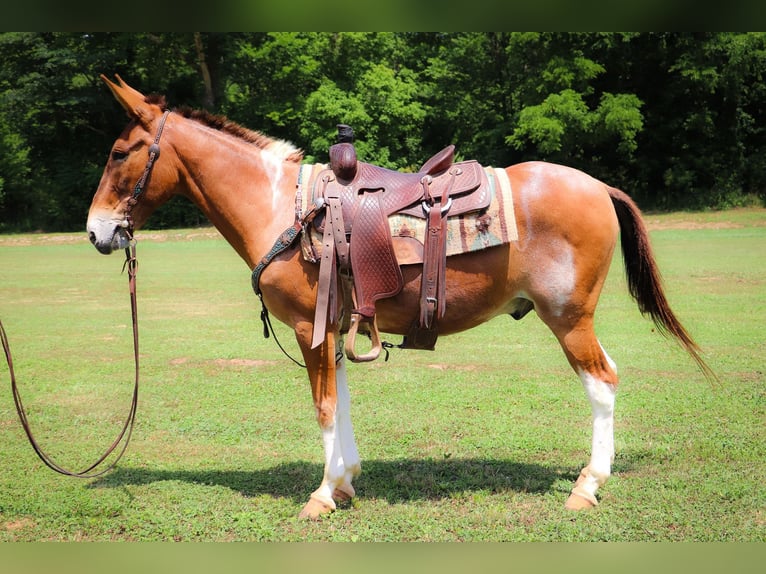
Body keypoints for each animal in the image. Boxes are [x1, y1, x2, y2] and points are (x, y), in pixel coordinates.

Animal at [85, 74, 712, 520]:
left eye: (119, 153)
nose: (96, 232)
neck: (280, 208)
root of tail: (597, 185)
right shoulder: (332, 329)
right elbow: (340, 402)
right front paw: (345, 481)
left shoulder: (308, 329)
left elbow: (323, 407)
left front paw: (322, 495)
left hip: (569, 316)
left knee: (602, 382)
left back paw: (588, 485)